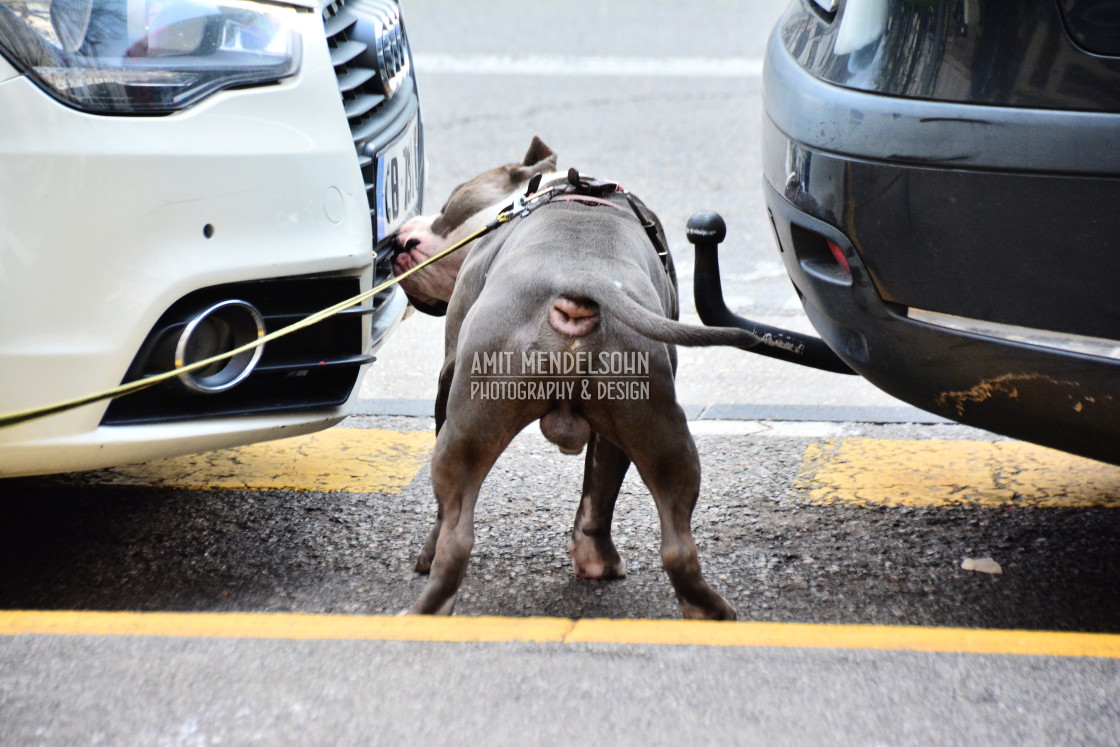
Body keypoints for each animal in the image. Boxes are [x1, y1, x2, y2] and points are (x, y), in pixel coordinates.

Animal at [396, 139, 761, 618]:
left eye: (446, 206)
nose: (395, 239)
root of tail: (578, 279)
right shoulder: (616, 432)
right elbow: (599, 493)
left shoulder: (448, 373)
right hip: (658, 428)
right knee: (677, 544)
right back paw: (708, 611)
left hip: (467, 429)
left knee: (453, 532)